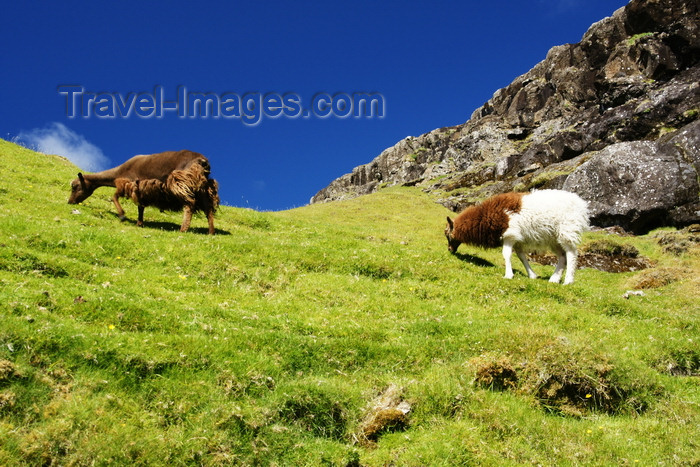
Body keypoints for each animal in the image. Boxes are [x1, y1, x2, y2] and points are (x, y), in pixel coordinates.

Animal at [446, 190, 588, 286]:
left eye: (447, 234)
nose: (449, 250)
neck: (484, 217)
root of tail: (581, 205)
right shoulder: (518, 240)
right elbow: (521, 256)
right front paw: (532, 275)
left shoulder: (510, 234)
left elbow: (506, 254)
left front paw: (508, 275)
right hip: (554, 238)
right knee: (562, 256)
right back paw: (554, 279)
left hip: (567, 230)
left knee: (571, 254)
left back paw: (568, 281)